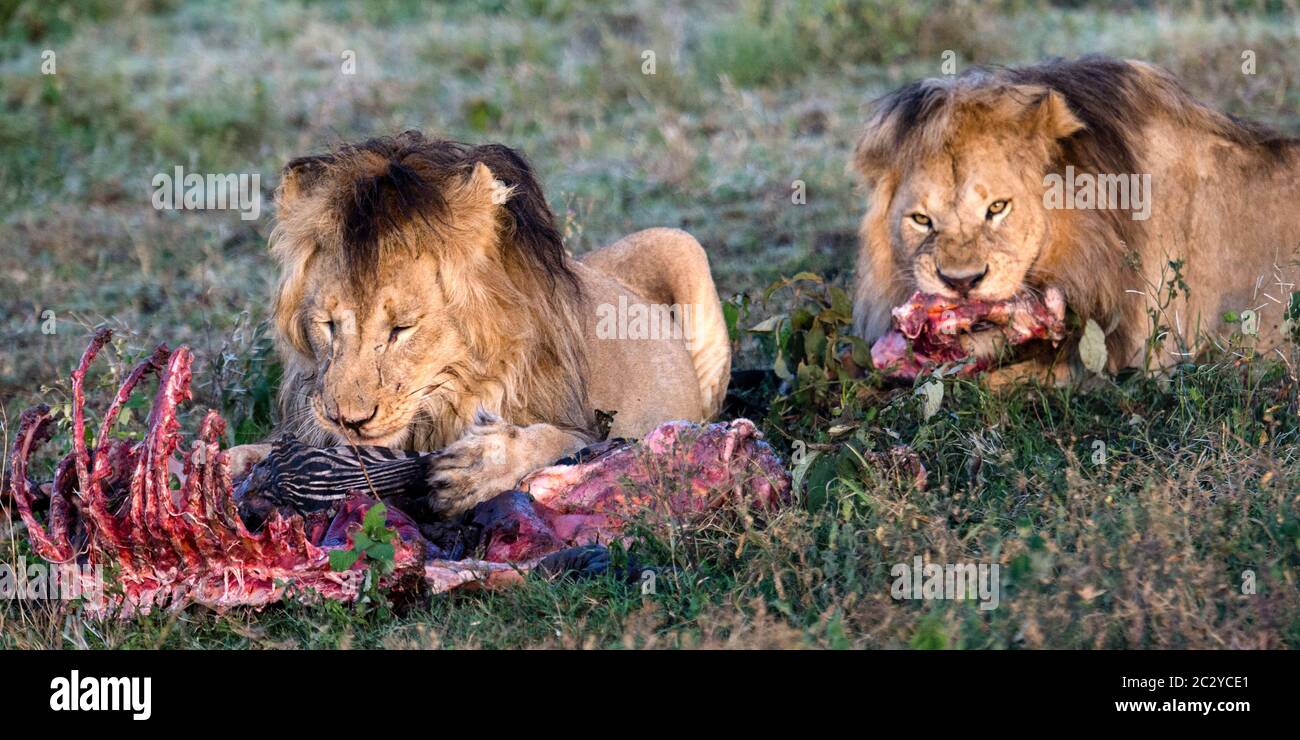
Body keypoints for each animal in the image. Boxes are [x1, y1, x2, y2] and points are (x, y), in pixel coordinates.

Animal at [231, 131, 733, 512]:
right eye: (329, 325)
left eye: (402, 329)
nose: (347, 421)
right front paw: (234, 465)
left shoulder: (594, 431)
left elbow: (556, 442)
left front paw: (478, 468)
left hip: (682, 245)